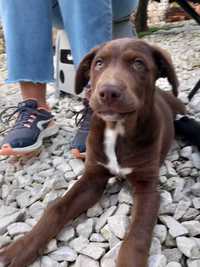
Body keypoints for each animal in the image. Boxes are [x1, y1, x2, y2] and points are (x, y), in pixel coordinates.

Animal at [0, 39, 184, 267]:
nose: (108, 92)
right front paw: (21, 247)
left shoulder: (148, 187)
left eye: (138, 64)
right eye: (99, 63)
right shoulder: (92, 179)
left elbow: (138, 233)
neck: (117, 130)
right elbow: (56, 208)